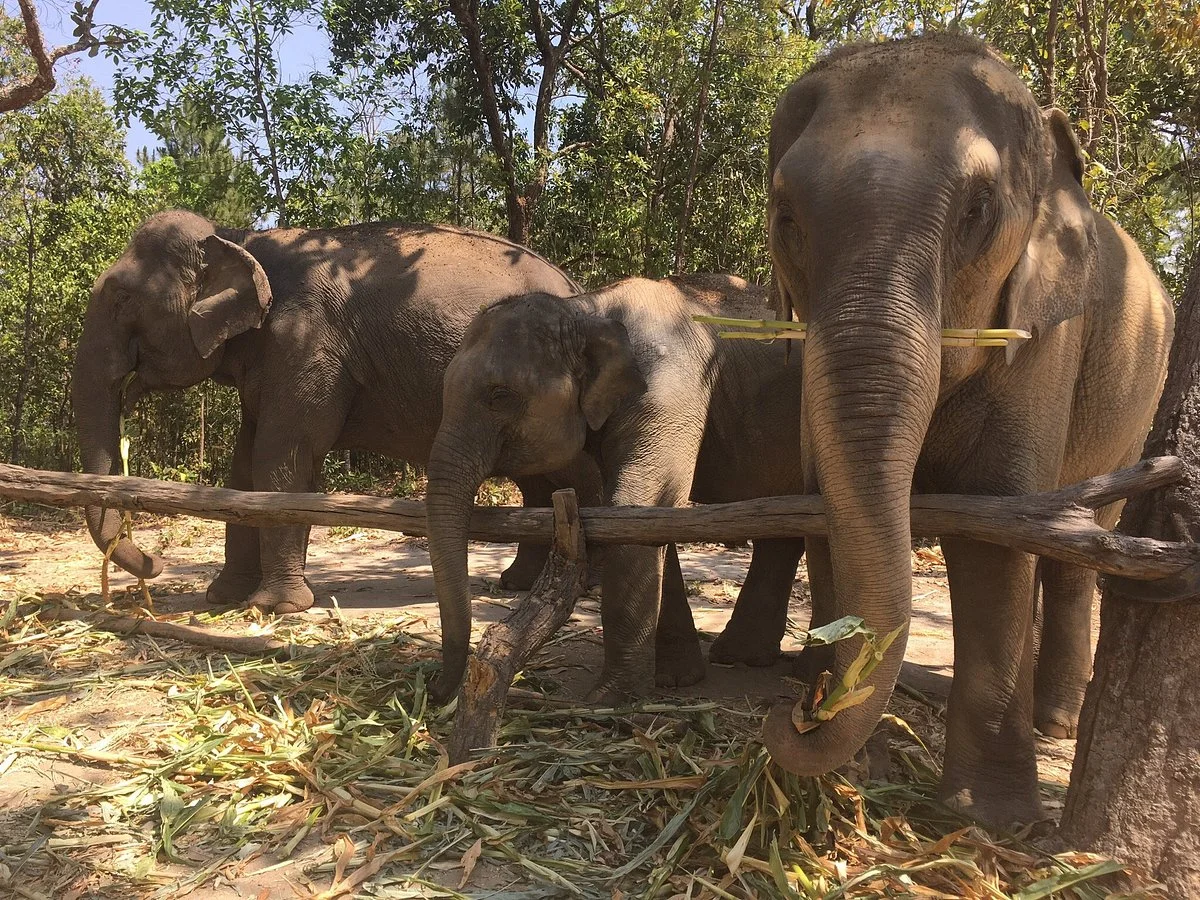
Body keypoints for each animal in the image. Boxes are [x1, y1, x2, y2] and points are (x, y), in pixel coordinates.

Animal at [71, 209, 586, 614]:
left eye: (121, 298)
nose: (154, 564)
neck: (240, 236)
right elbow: (245, 464)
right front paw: (224, 598)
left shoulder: (306, 339)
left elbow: (282, 457)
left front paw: (276, 607)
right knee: (539, 480)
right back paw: (518, 584)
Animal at [424, 274, 806, 703]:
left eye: (499, 396)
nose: (433, 689)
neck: (588, 309)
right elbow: (640, 518)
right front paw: (673, 680)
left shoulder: (669, 393)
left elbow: (636, 505)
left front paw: (607, 701)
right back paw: (741, 657)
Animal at [762, 33, 1173, 826]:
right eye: (785, 214)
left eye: (978, 210)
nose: (798, 709)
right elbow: (821, 510)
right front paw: (853, 766)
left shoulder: (1044, 337)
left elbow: (991, 532)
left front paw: (989, 815)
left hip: (1135, 412)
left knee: (1078, 550)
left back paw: (1057, 724)